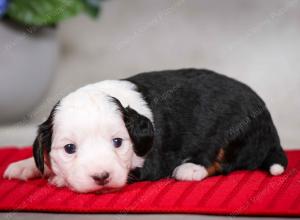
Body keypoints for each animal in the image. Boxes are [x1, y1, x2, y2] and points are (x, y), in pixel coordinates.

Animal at [2, 69, 288, 192]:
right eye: (69, 148)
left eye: (118, 142)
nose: (101, 176)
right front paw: (26, 166)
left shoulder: (151, 162)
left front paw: (59, 179)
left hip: (236, 132)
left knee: (227, 161)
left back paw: (191, 168)